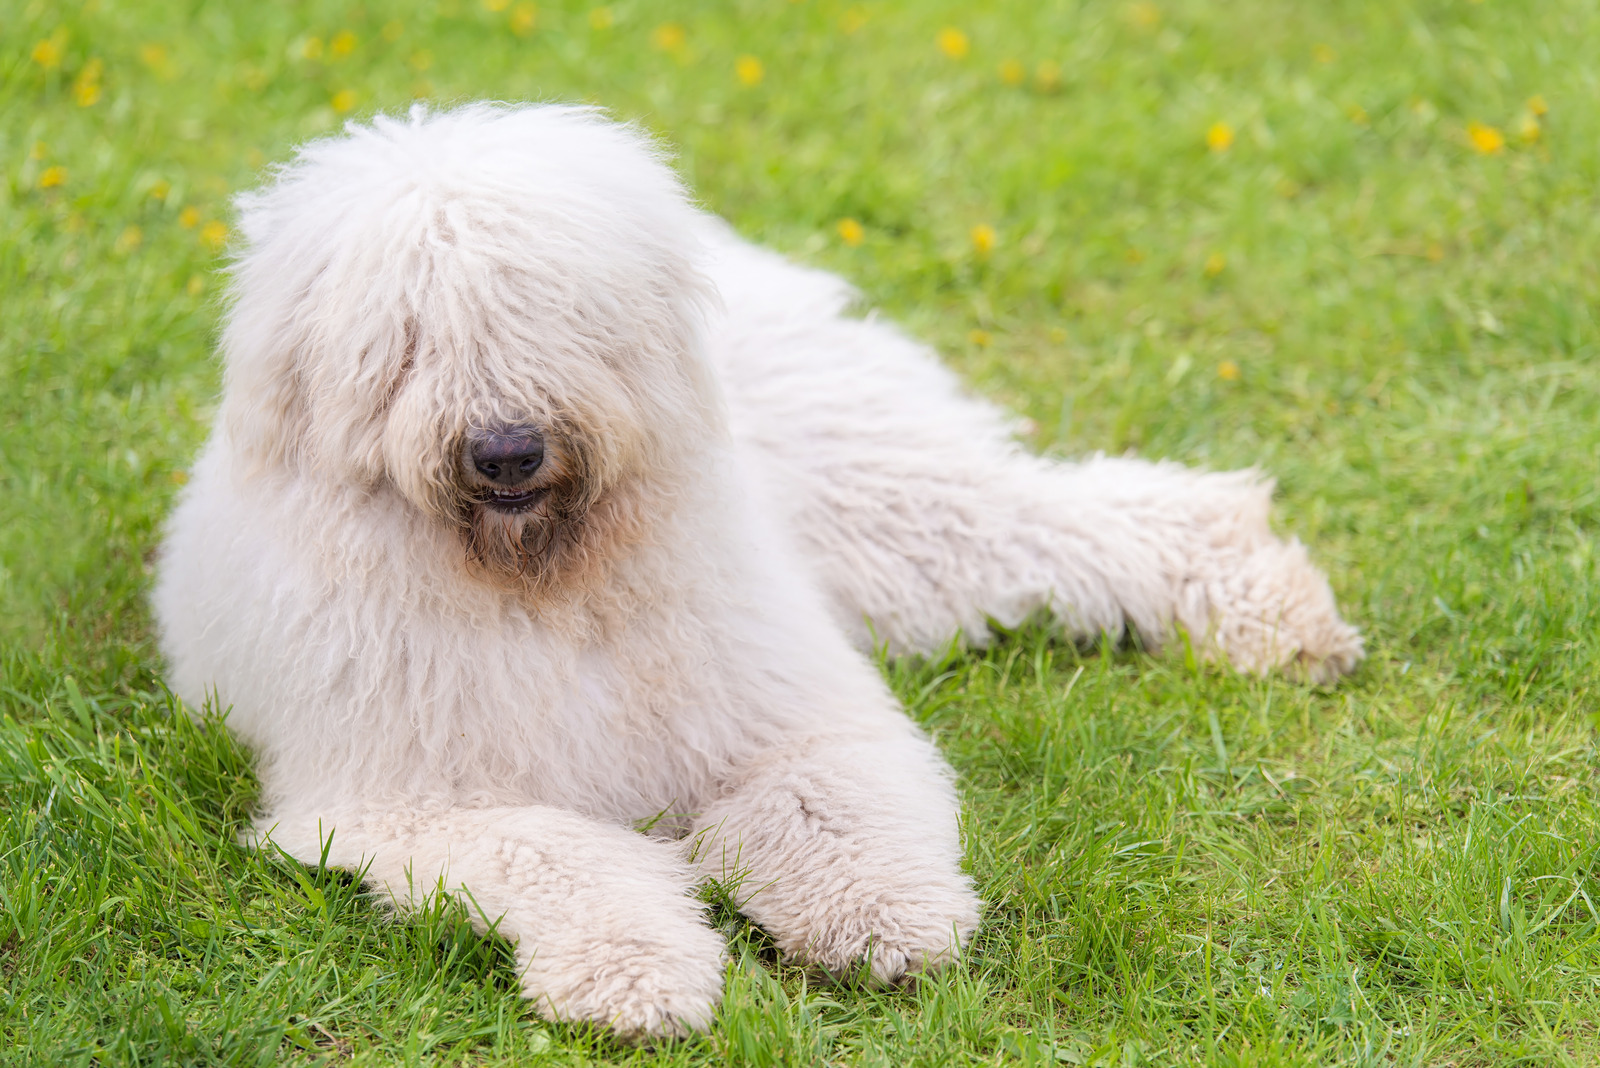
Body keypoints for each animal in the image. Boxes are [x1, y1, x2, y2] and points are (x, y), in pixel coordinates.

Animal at [156, 103, 1363, 1036]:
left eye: (545, 311)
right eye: (405, 338)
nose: (505, 450)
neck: (544, 588)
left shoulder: (790, 711)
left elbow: (827, 799)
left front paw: (881, 919)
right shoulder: (396, 802)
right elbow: (559, 854)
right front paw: (638, 976)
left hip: (894, 518)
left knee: (1105, 516)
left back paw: (1280, 617)